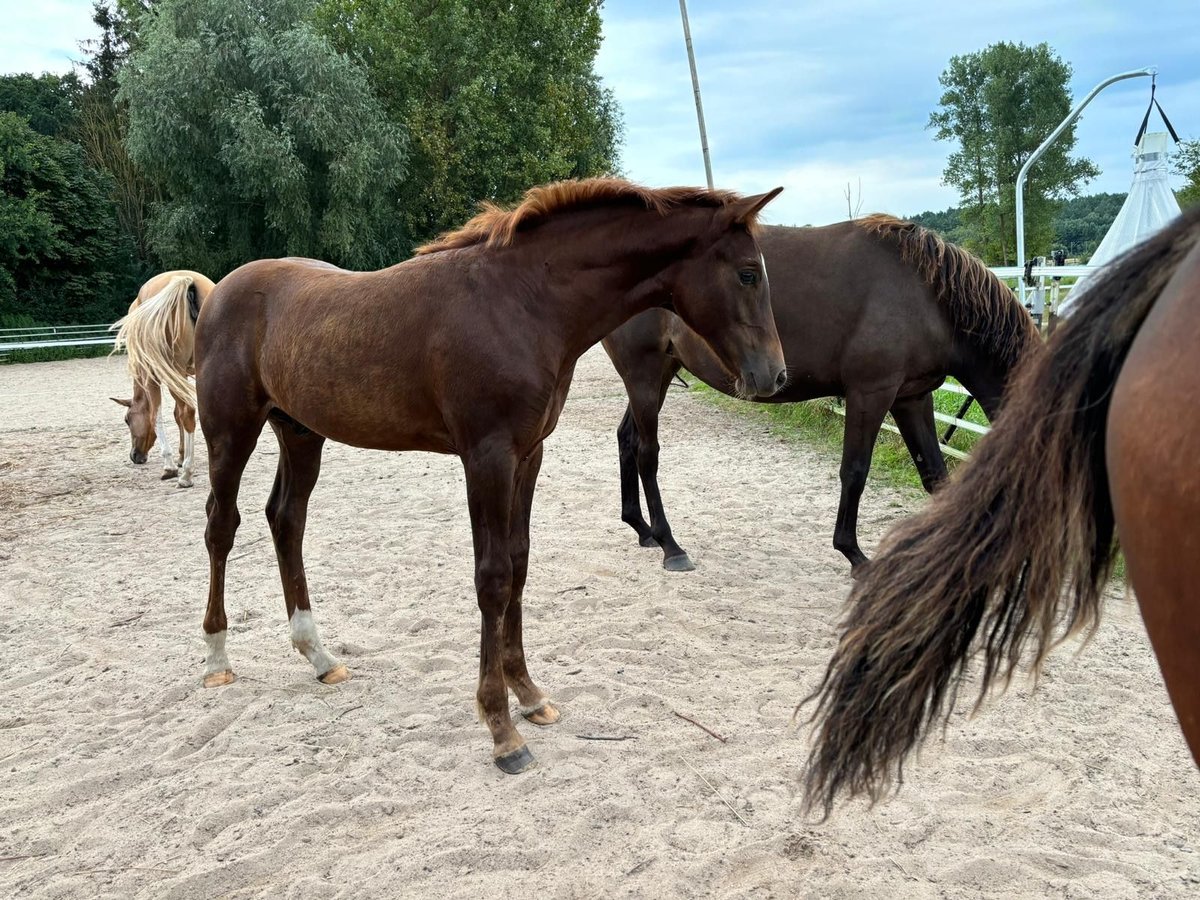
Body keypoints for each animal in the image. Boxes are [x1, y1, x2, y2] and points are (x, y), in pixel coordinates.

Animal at [111, 271, 214, 489]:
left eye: (127, 420)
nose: (135, 456)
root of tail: (186, 282)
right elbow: (176, 415)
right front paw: (181, 456)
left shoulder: (152, 376)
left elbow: (156, 416)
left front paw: (171, 466)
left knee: (188, 412)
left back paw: (186, 475)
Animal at [194, 177, 787, 777]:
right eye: (748, 273)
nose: (774, 375)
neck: (521, 302)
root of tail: (218, 292)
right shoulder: (487, 458)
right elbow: (493, 578)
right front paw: (502, 729)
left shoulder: (528, 456)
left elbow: (519, 566)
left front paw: (529, 694)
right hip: (231, 433)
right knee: (222, 525)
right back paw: (217, 659)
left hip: (300, 433)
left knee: (286, 520)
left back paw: (319, 656)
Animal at [604, 217, 1036, 571]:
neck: (924, 294)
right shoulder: (870, 394)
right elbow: (854, 472)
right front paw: (853, 553)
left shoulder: (911, 398)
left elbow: (935, 477)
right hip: (644, 374)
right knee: (646, 452)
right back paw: (670, 545)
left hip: (660, 373)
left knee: (627, 439)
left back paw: (642, 528)